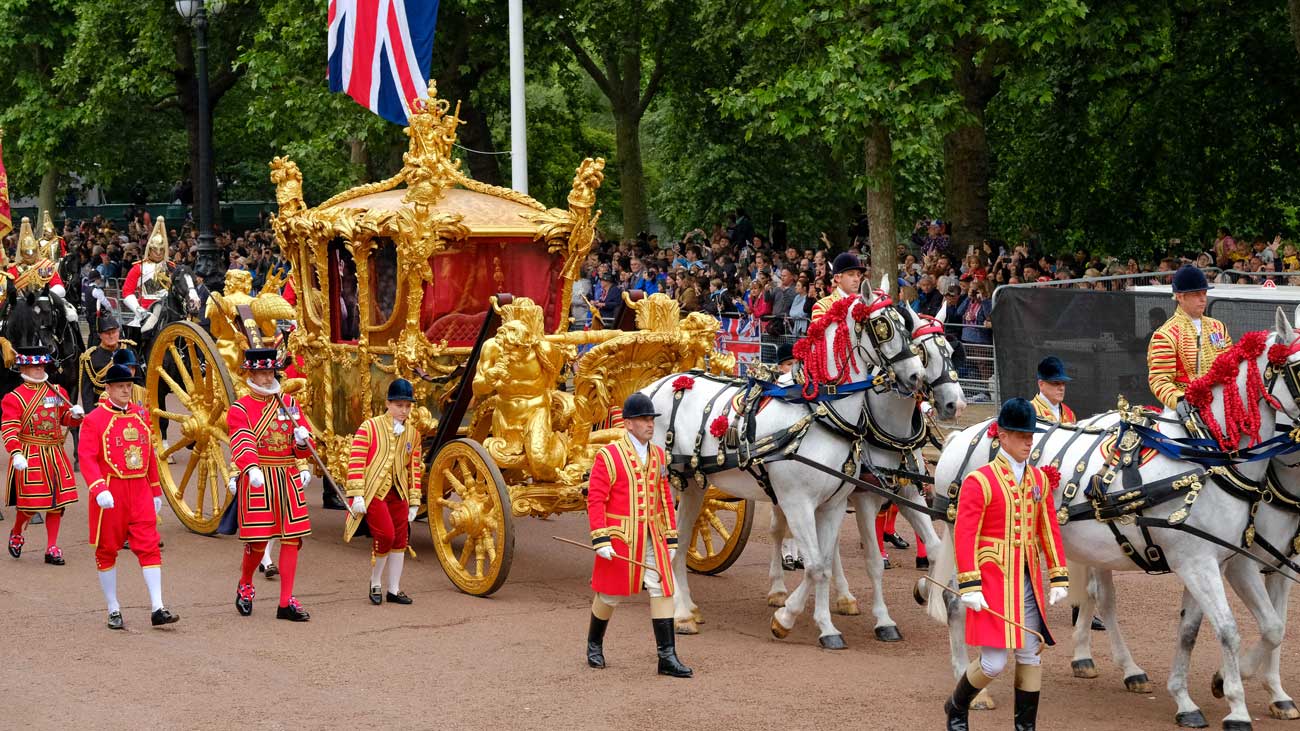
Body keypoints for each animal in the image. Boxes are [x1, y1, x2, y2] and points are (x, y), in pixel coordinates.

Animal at [660, 275, 925, 645]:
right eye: (883, 325)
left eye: (906, 324)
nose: (916, 376)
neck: (821, 415)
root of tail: (660, 384)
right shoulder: (798, 501)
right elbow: (814, 565)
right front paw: (785, 618)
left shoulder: (832, 504)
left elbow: (823, 564)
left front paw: (826, 626)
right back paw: (673, 606)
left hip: (694, 486)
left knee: (682, 541)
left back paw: (686, 610)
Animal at [769, 301, 967, 637]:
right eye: (922, 352)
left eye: (951, 351)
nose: (955, 404)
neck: (890, 428)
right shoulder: (864, 498)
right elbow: (873, 560)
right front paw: (884, 620)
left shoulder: (908, 493)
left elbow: (936, 547)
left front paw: (924, 588)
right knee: (779, 530)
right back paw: (779, 589)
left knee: (829, 545)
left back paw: (844, 597)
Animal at [930, 309, 1300, 728]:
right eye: (1299, 367)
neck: (1203, 458)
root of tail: (963, 436)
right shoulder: (1203, 564)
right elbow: (1228, 629)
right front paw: (1235, 704)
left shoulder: (1213, 561)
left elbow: (1199, 630)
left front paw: (1187, 698)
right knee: (960, 603)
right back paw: (971, 684)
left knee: (1095, 599)